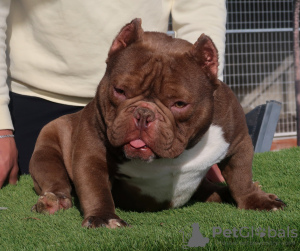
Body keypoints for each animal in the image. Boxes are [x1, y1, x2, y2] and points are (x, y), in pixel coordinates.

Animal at [29, 18, 284, 228]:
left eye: (179, 104)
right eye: (119, 90)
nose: (143, 114)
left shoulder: (238, 140)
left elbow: (241, 176)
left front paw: (255, 199)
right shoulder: (92, 152)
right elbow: (95, 187)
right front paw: (103, 217)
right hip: (46, 149)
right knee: (55, 179)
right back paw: (53, 201)